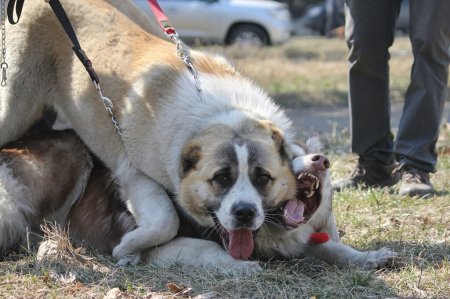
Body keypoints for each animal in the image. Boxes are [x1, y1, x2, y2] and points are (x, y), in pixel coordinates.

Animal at [0, 0, 394, 272]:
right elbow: (171, 225)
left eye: (266, 174)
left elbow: (328, 245)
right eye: (221, 178)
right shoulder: (135, 175)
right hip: (16, 110)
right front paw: (129, 248)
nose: (319, 160)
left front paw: (369, 255)